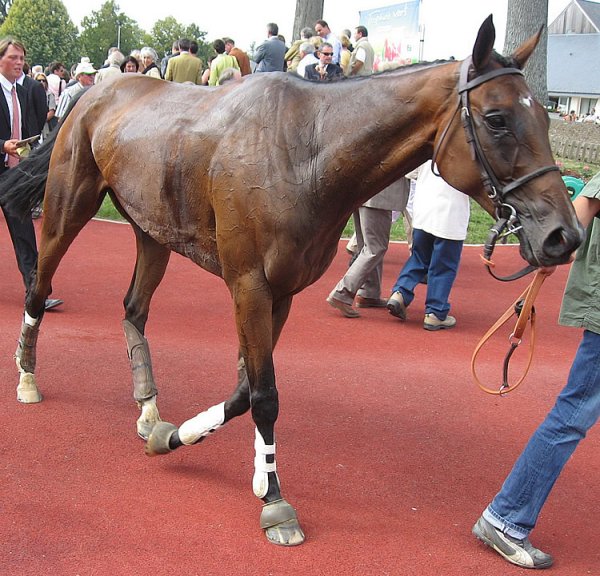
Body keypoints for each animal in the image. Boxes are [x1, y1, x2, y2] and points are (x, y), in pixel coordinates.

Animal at [0, 16, 584, 548]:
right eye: (497, 118)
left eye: (545, 118)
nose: (564, 235)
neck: (306, 153)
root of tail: (96, 91)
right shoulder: (248, 285)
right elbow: (264, 395)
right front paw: (276, 503)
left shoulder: (280, 293)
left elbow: (244, 390)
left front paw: (179, 439)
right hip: (68, 205)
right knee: (38, 287)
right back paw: (28, 375)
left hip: (152, 230)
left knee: (133, 308)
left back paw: (148, 408)